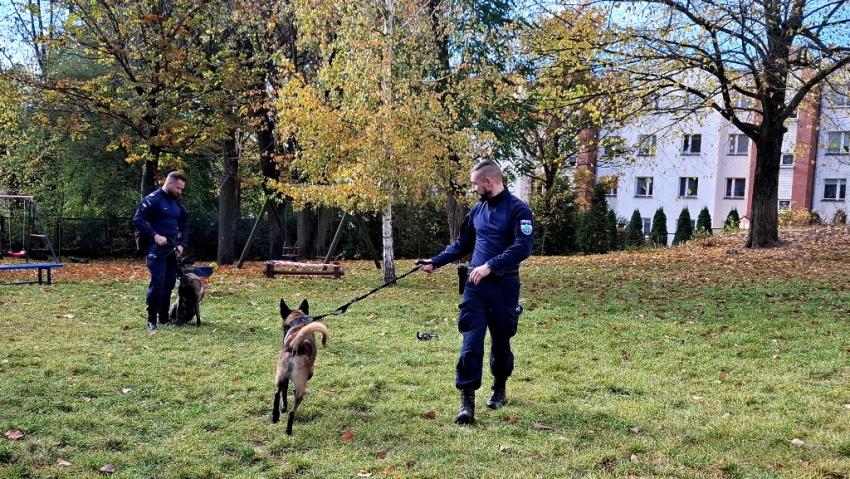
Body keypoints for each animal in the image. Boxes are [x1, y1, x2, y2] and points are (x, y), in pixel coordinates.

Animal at [273, 298, 329, 435]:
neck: (297, 323)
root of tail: (295, 346)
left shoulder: (285, 379)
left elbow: (284, 393)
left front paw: (282, 408)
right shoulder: (309, 372)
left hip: (280, 376)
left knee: (277, 393)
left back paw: (275, 416)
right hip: (300, 388)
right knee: (292, 412)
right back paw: (288, 431)